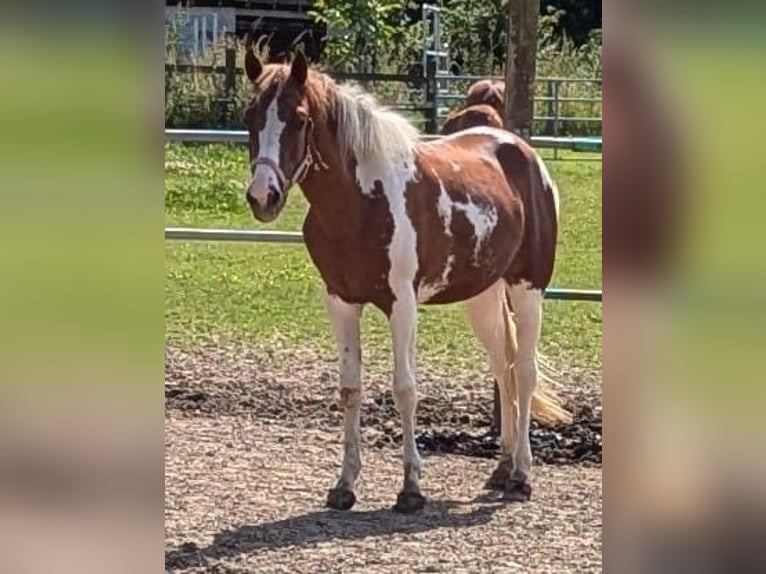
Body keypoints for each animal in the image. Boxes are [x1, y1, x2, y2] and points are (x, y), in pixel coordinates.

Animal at [244, 49, 568, 516]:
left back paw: (521, 476)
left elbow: (405, 389)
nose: (262, 196)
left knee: (524, 372)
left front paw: (411, 488)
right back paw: (502, 468)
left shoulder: (402, 304)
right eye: (250, 114)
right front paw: (344, 486)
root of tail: (525, 154)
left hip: (528, 288)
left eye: (300, 118)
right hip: (484, 297)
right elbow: (350, 389)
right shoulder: (341, 302)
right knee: (502, 368)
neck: (359, 204)